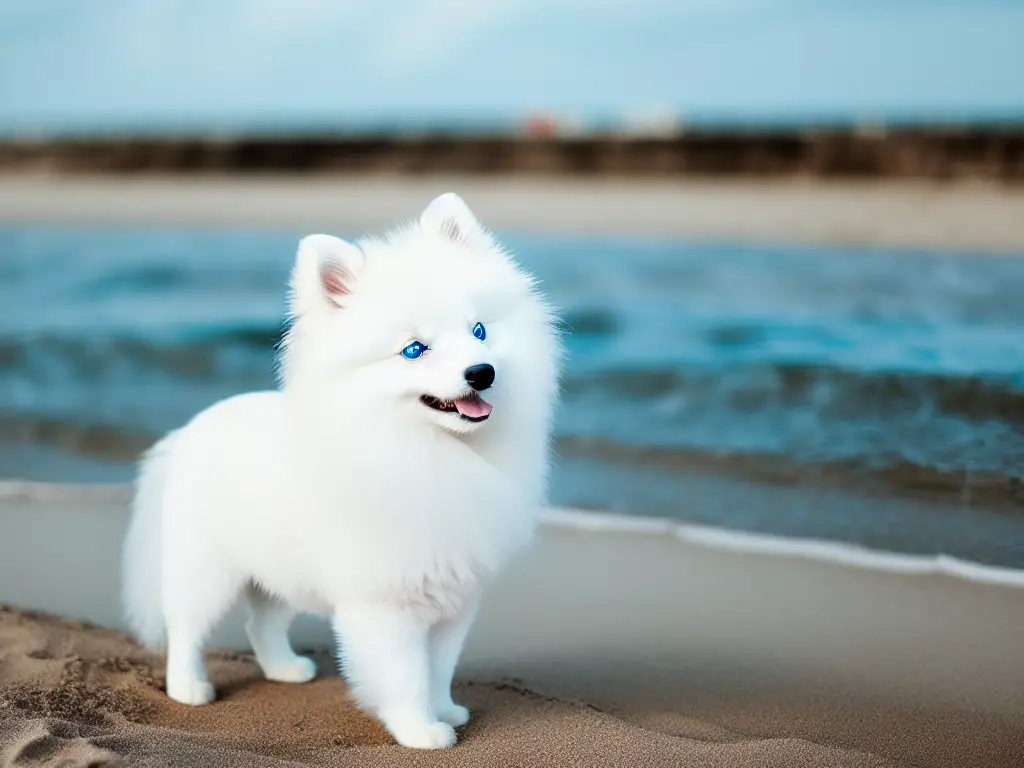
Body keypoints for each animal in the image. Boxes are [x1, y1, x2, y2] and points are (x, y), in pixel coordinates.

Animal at [125, 193, 569, 753]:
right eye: (414, 350)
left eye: (479, 331)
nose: (482, 372)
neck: (426, 450)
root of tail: (187, 432)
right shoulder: (386, 603)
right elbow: (405, 675)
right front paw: (421, 731)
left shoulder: (455, 598)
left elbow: (439, 667)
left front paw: (445, 709)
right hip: (206, 568)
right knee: (186, 627)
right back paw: (189, 689)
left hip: (275, 572)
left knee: (260, 625)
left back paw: (285, 669)